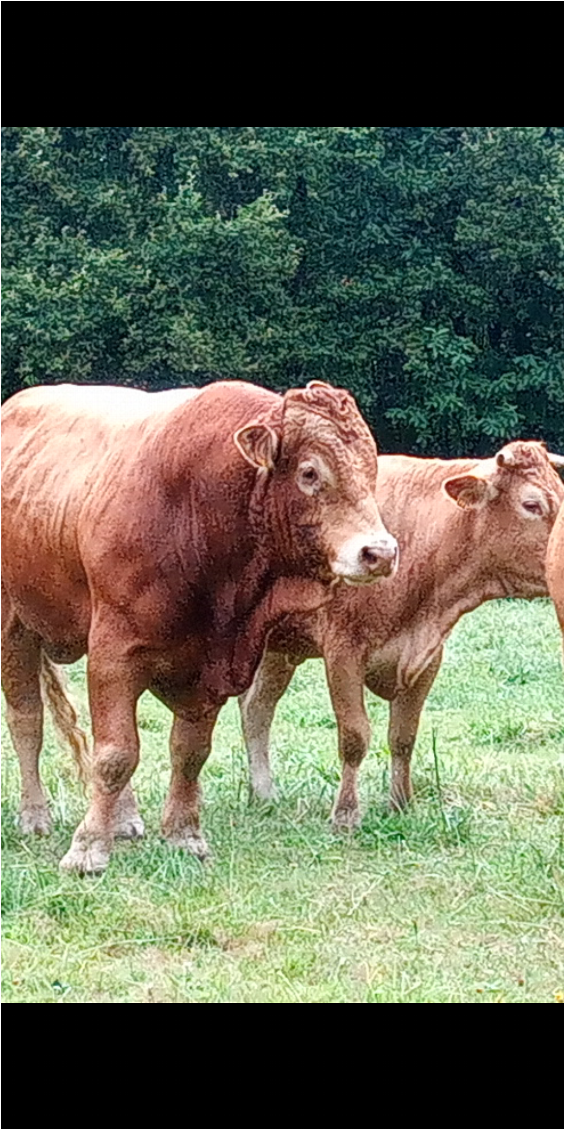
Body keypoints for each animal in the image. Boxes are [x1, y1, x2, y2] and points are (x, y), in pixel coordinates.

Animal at [1, 379, 397, 872]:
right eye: (309, 473)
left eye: (371, 469)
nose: (380, 552)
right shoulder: (114, 652)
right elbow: (115, 753)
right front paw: (88, 847)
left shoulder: (211, 665)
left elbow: (188, 752)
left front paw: (182, 834)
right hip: (14, 626)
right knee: (27, 721)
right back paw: (35, 814)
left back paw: (124, 818)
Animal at [240, 438, 562, 822]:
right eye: (532, 504)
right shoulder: (343, 650)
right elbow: (354, 736)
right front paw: (346, 814)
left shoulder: (428, 656)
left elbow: (403, 737)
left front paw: (401, 804)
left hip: (276, 651)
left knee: (257, 709)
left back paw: (263, 794)